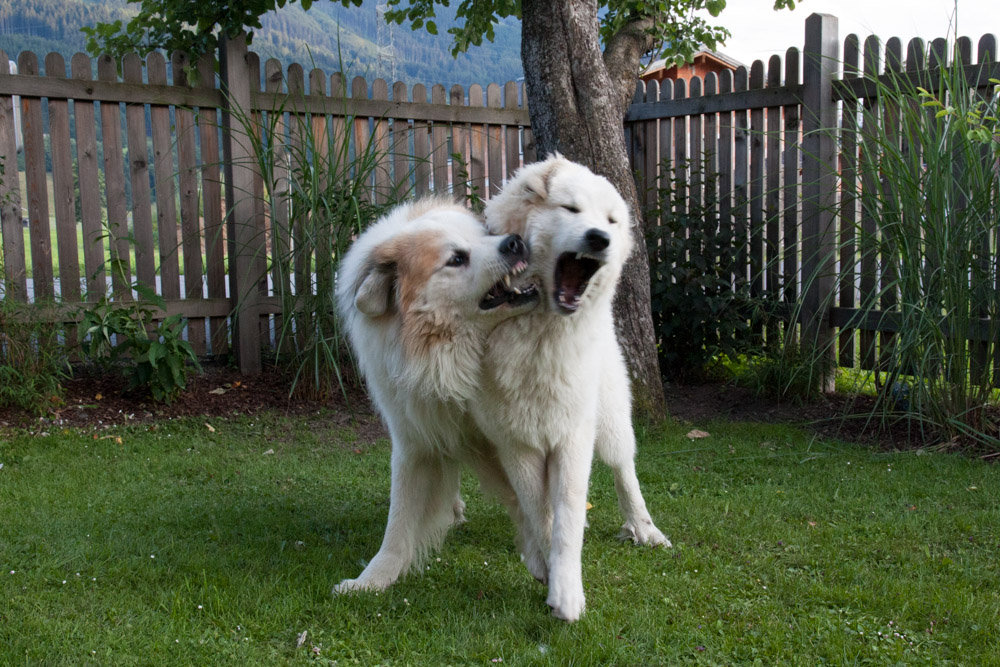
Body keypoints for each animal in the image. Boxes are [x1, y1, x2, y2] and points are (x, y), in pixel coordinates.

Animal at [334, 198, 540, 596]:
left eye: (484, 237)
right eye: (456, 259)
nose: (515, 241)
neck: (445, 357)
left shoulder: (504, 440)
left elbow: (526, 501)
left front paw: (545, 561)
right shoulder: (415, 441)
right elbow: (398, 524)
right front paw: (373, 580)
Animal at [472, 155, 668, 620]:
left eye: (611, 221)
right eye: (571, 209)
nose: (600, 238)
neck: (542, 334)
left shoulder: (572, 438)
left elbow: (567, 516)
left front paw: (566, 592)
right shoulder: (518, 444)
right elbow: (541, 513)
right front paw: (547, 569)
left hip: (611, 421)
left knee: (624, 471)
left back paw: (644, 528)